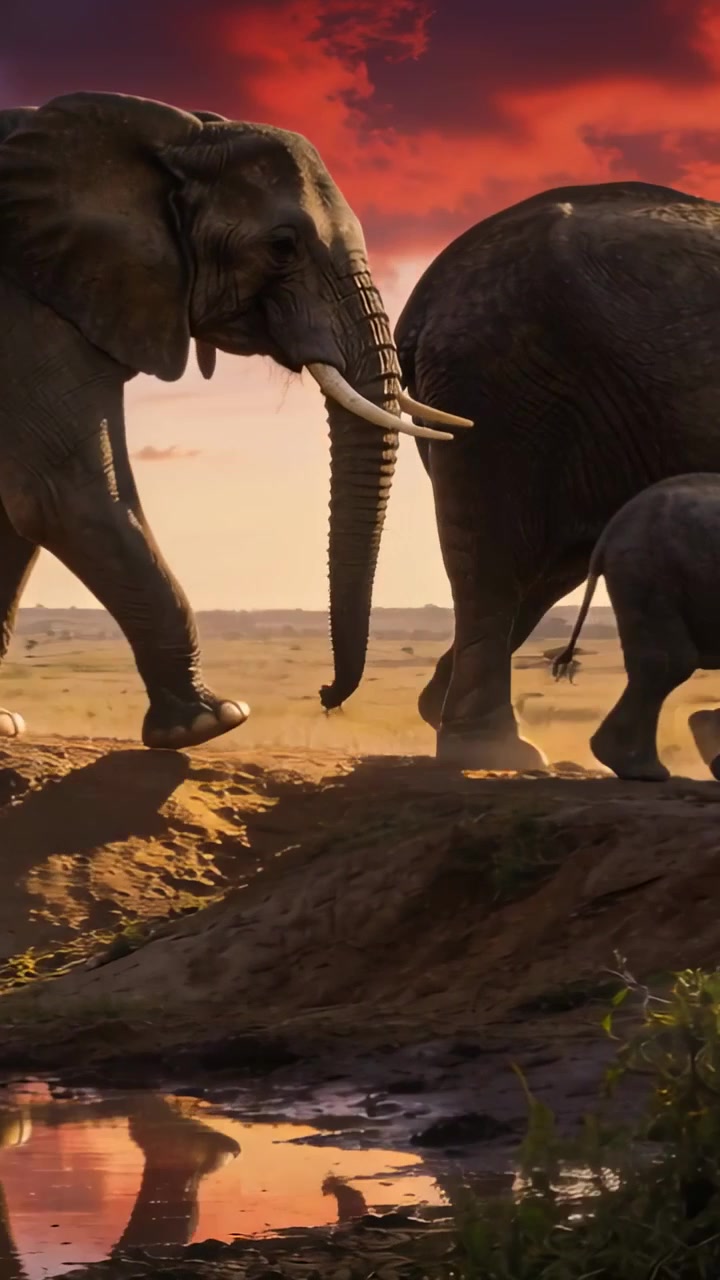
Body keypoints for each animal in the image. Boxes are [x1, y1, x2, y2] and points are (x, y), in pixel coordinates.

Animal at [0, 93, 468, 751]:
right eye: (282, 246)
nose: (327, 696)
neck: (169, 136)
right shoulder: (26, 302)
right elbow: (58, 493)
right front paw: (212, 720)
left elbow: (16, 514)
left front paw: (2, 727)